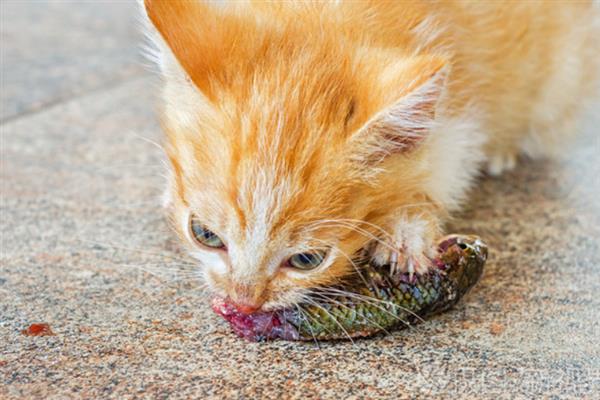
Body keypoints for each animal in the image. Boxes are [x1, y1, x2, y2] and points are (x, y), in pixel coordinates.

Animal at [139, 0, 596, 312]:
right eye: (204, 234)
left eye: (306, 260)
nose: (243, 303)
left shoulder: (461, 106)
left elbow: (444, 165)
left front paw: (406, 229)